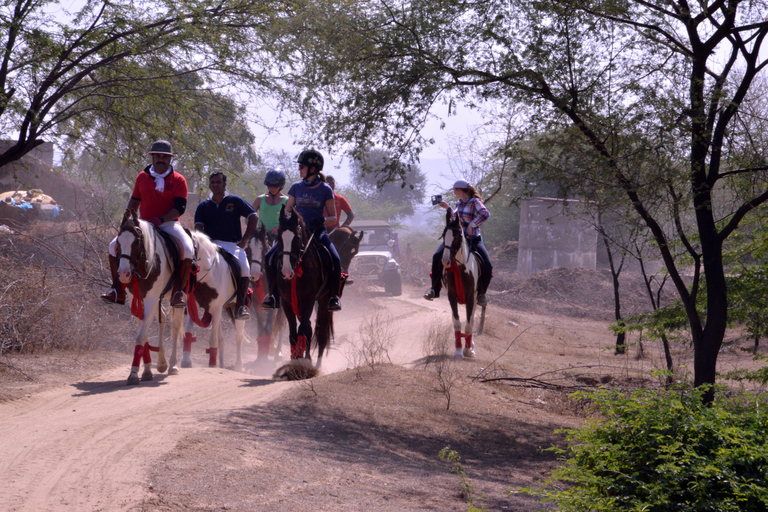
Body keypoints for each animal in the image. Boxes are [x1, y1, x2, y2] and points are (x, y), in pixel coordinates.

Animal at [172, 232, 248, 372]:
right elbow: (188, 332)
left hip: (235, 308)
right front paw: (186, 360)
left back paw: (238, 366)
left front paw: (212, 364)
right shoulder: (194, 307)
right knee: (221, 338)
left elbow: (213, 338)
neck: (208, 276)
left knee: (239, 337)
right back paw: (222, 364)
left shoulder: (217, 308)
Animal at [272, 205, 332, 368]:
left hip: (324, 301)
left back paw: (317, 365)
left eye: (297, 238)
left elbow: (303, 330)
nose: (286, 272)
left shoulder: (309, 301)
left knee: (321, 333)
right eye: (279, 237)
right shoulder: (287, 303)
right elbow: (294, 333)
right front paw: (297, 359)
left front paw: (302, 359)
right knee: (311, 328)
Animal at [440, 210, 484, 358]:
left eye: (456, 237)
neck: (461, 268)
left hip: (476, 299)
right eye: (444, 236)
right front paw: (459, 350)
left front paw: (467, 350)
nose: (445, 261)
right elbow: (457, 323)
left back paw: (471, 347)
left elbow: (469, 325)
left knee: (472, 320)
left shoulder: (471, 298)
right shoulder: (452, 297)